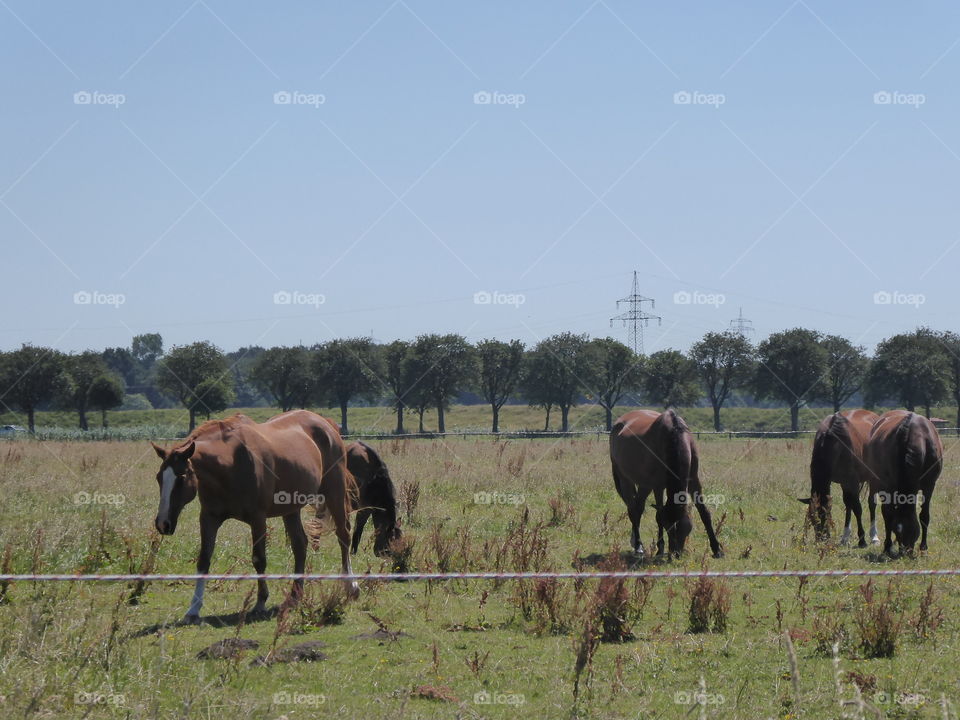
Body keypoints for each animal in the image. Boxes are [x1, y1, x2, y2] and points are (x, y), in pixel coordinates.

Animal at [150, 410, 358, 623]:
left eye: (181, 478)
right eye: (159, 478)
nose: (163, 523)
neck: (230, 463)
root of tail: (327, 424)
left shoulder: (258, 519)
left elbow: (259, 559)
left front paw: (260, 602)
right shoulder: (209, 518)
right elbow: (204, 559)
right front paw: (193, 609)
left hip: (334, 492)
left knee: (343, 536)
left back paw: (351, 586)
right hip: (291, 509)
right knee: (300, 545)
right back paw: (295, 596)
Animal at [609, 409, 723, 558]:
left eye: (687, 528)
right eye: (668, 526)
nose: (676, 553)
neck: (673, 436)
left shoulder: (694, 480)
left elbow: (704, 513)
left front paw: (717, 549)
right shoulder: (658, 486)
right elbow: (659, 515)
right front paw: (660, 548)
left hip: (645, 485)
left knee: (638, 508)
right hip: (625, 480)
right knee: (633, 510)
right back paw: (638, 546)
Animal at [799, 409, 879, 547]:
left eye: (825, 514)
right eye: (812, 518)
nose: (822, 539)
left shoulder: (852, 481)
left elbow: (857, 508)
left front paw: (862, 539)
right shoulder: (845, 482)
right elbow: (849, 504)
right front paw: (846, 537)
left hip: (871, 478)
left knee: (871, 503)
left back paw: (874, 536)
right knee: (849, 503)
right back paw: (846, 537)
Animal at [863, 410, 943, 556]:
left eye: (913, 530)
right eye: (897, 530)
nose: (905, 551)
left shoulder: (929, 485)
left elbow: (924, 516)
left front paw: (923, 548)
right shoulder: (887, 486)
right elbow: (887, 514)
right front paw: (887, 546)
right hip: (875, 481)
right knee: (874, 504)